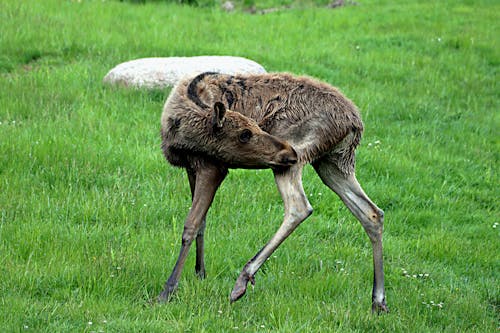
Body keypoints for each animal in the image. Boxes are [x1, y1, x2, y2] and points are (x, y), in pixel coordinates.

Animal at [159, 72, 386, 312]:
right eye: (245, 134)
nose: (288, 149)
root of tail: (355, 123)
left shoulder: (213, 166)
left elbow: (191, 225)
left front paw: (168, 290)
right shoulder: (192, 167)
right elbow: (202, 222)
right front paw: (200, 273)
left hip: (295, 157)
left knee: (299, 208)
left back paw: (242, 280)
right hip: (333, 162)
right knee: (372, 212)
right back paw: (378, 300)